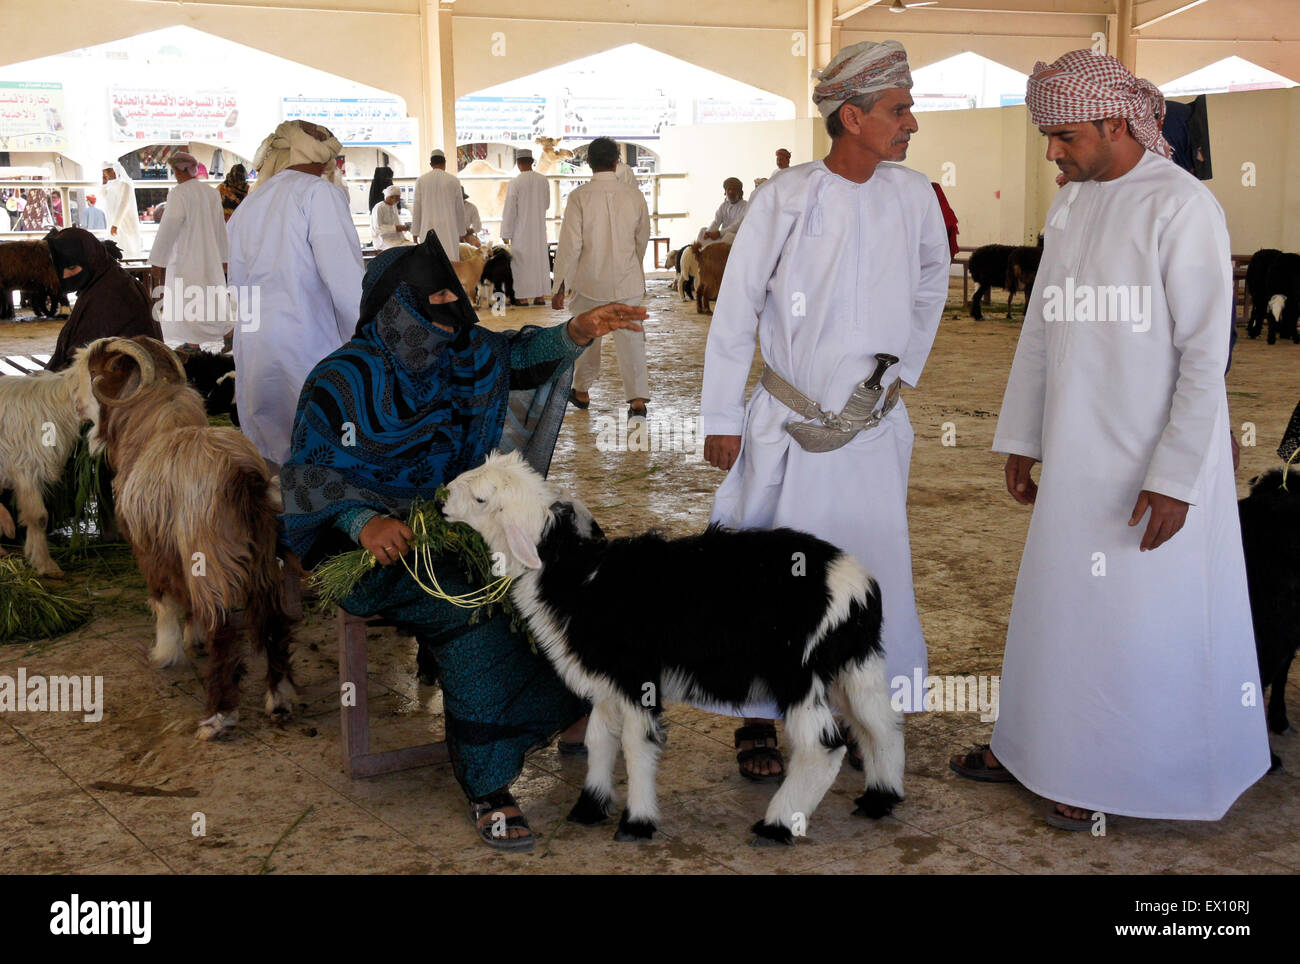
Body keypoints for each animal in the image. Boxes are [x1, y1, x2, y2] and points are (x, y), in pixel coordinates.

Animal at [74, 335, 296, 743]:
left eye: (94, 371)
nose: (77, 404)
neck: (153, 432)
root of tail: (245, 478)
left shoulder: (151, 548)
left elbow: (163, 601)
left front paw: (165, 652)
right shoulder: (176, 553)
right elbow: (188, 604)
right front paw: (192, 640)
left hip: (208, 558)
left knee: (224, 630)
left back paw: (218, 718)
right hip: (266, 560)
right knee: (272, 621)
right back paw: (279, 698)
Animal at [447, 452, 904, 847]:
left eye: (481, 498)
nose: (441, 497)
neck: (576, 577)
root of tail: (858, 586)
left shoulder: (636, 678)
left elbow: (636, 746)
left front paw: (637, 822)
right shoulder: (607, 682)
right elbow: (599, 738)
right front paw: (590, 806)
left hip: (797, 672)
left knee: (823, 747)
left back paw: (777, 825)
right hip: (854, 663)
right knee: (880, 723)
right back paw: (881, 798)